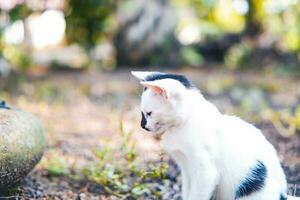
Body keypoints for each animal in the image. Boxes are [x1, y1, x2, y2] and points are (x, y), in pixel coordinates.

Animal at [133, 71, 298, 199]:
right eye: (142, 113)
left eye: (149, 113)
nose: (142, 125)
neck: (183, 124)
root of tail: (282, 194)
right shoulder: (186, 170)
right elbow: (187, 193)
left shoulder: (205, 173)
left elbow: (196, 195)